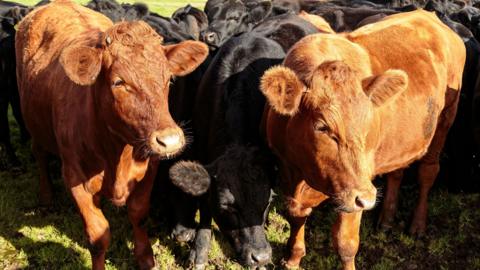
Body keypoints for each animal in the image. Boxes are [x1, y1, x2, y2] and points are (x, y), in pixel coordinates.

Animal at [15, 1, 207, 268]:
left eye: (169, 78)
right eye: (119, 82)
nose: (170, 140)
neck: (119, 152)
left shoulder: (149, 169)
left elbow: (139, 214)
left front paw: (146, 258)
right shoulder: (75, 178)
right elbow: (98, 237)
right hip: (34, 123)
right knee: (40, 154)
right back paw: (46, 197)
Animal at [258, 9, 464, 268]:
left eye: (369, 122)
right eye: (322, 127)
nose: (367, 198)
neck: (304, 174)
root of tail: (430, 16)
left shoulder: (355, 190)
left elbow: (345, 244)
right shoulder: (287, 170)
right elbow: (296, 217)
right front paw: (293, 259)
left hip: (445, 120)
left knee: (428, 172)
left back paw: (417, 225)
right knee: (396, 172)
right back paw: (386, 219)